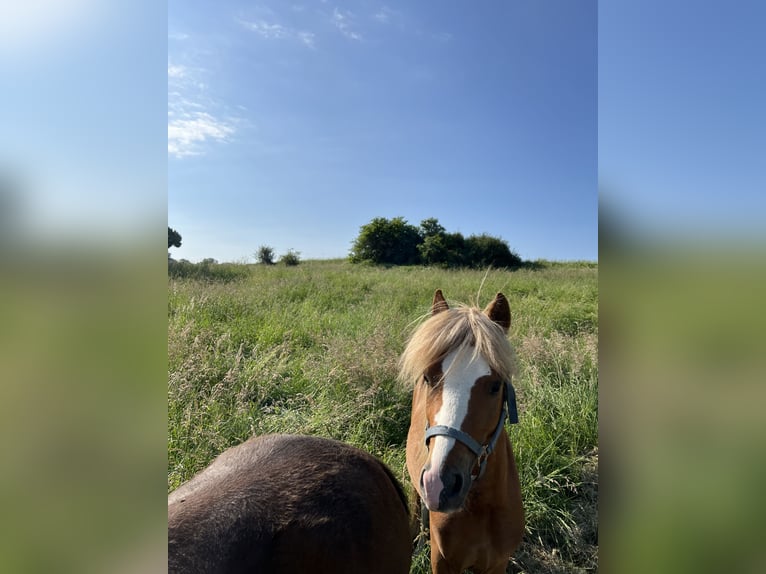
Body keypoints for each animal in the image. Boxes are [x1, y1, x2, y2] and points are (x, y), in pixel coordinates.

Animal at [402, 292, 528, 574]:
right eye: (428, 378)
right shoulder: (443, 562)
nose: (440, 484)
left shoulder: (497, 563)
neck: (482, 507)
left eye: (495, 386)